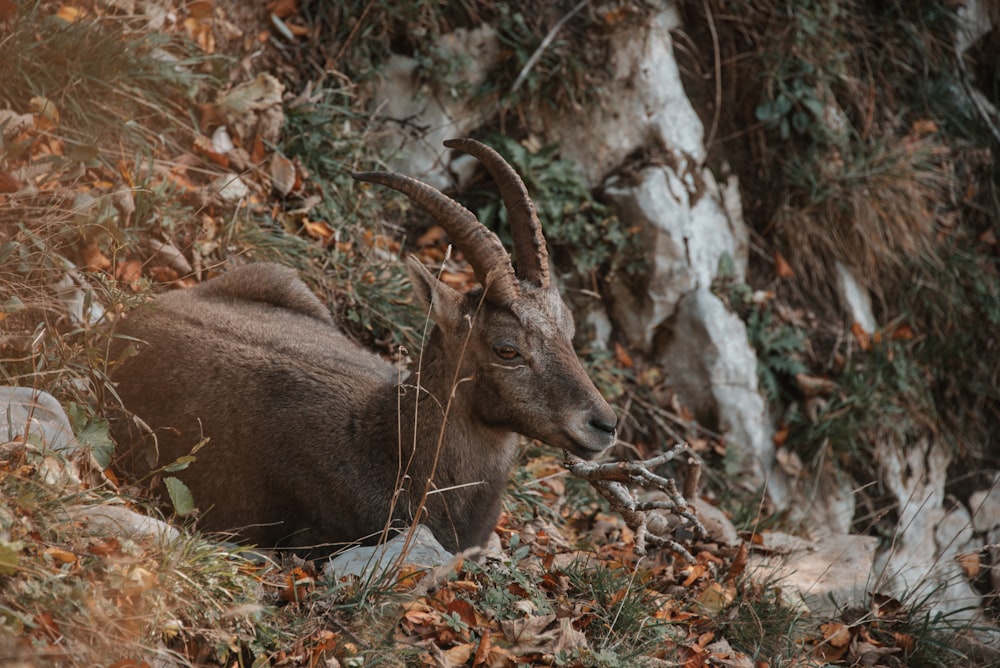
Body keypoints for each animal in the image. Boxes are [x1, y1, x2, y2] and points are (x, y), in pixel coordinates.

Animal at [105, 137, 612, 552]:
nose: (604, 424)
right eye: (507, 348)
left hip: (283, 278)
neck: (392, 446)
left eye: (568, 329)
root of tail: (131, 319)